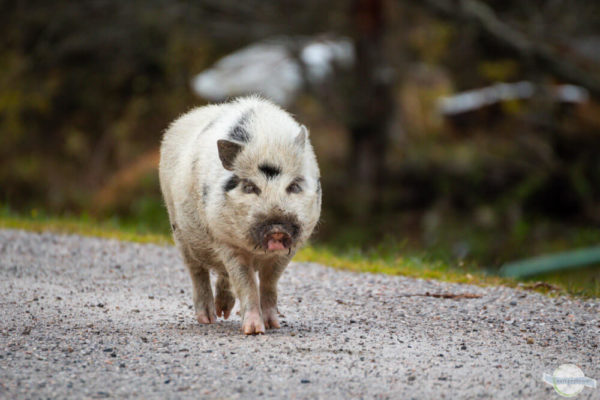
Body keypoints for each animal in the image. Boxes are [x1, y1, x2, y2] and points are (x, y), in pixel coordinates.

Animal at [157, 97, 322, 334]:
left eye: (294, 186)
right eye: (250, 187)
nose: (277, 228)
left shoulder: (288, 250)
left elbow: (269, 284)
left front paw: (273, 325)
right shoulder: (226, 242)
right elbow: (247, 284)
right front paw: (254, 331)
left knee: (222, 275)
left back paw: (223, 313)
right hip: (178, 230)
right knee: (197, 272)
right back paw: (208, 319)